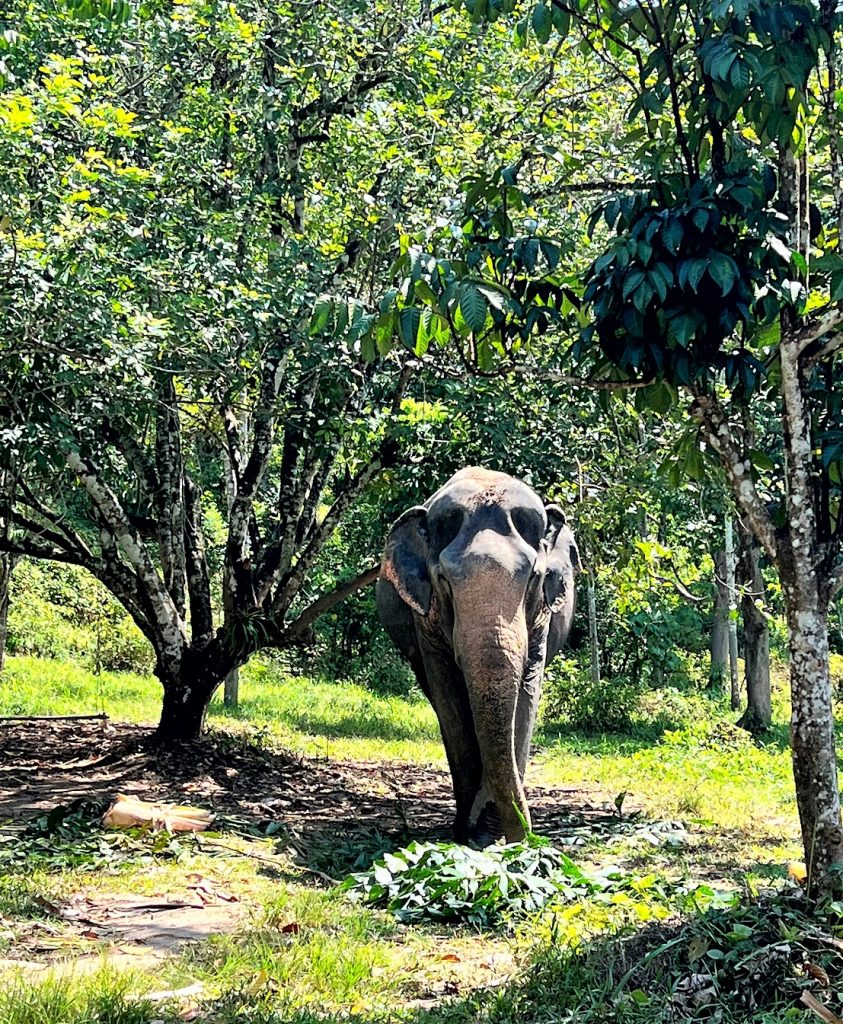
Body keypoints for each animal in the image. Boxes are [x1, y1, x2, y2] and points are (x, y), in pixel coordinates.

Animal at [376, 468, 581, 843]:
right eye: (444, 579)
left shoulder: (541, 620)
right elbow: (450, 697)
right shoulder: (426, 622)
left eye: (533, 577)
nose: (527, 835)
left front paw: (492, 834)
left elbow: (526, 695)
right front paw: (469, 833)